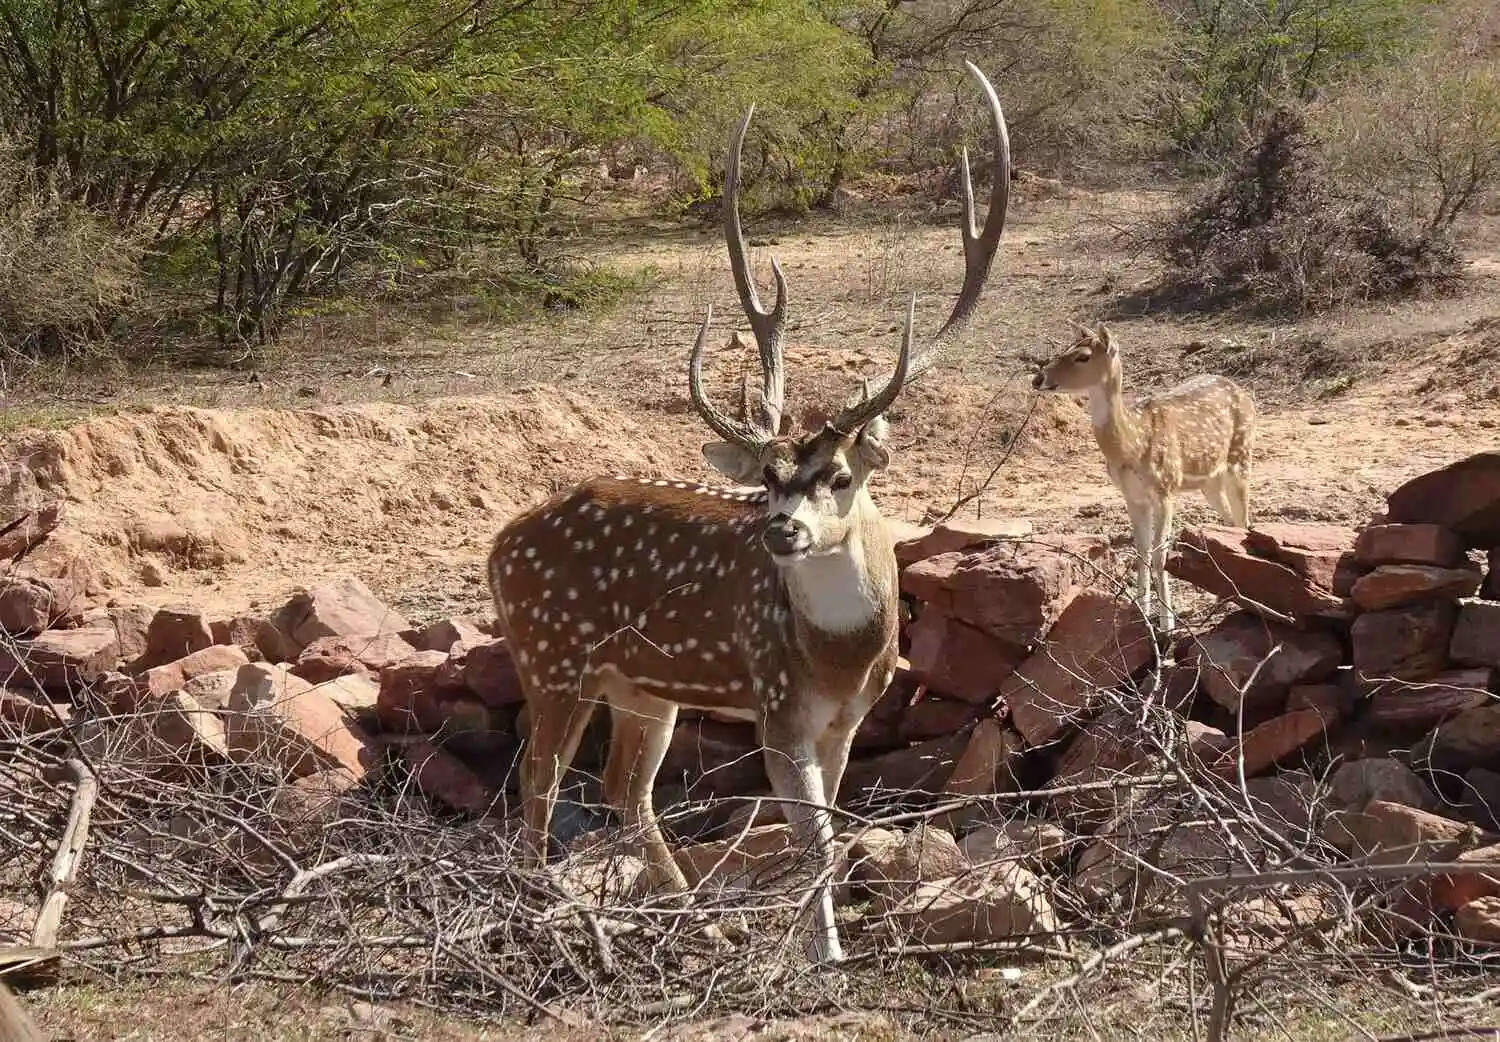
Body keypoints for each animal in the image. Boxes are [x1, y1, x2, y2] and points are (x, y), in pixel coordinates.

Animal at [486, 61, 1014, 965]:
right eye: (766, 479)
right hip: (550, 652)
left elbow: (830, 827)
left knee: (624, 790)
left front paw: (816, 942)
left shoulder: (850, 718)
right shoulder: (774, 706)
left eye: (838, 475)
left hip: (640, 685)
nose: (780, 530)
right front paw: (825, 955)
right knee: (539, 781)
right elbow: (813, 838)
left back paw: (696, 920)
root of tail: (496, 548)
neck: (839, 657)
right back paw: (548, 917)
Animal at [1032, 326, 1254, 632]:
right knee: (1231, 523)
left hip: (1241, 457)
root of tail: (1244, 393)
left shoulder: (1166, 488)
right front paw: (1141, 613)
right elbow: (1141, 552)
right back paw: (1223, 597)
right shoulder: (1132, 496)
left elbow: (1160, 554)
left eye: (1083, 356)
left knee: (1244, 522)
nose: (1038, 378)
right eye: (1064, 348)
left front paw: (1167, 624)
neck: (1132, 442)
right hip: (1210, 482)